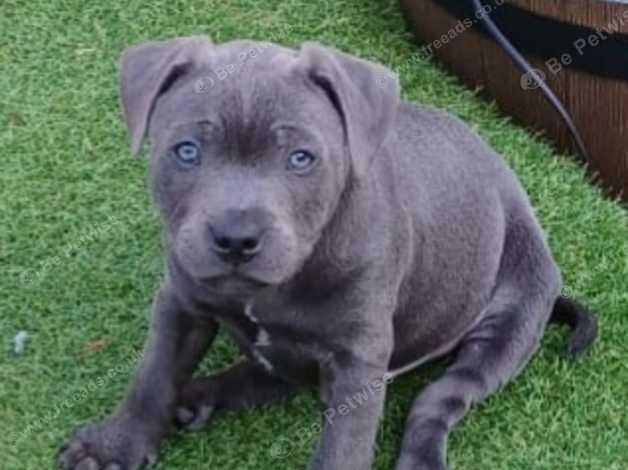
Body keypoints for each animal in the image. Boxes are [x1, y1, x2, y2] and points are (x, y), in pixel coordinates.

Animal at [59, 37, 600, 470]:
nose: (236, 237)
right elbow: (152, 374)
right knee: (270, 372)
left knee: (437, 400)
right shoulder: (181, 302)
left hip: (512, 314)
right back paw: (197, 396)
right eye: (187, 150)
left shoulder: (358, 359)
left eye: (301, 159)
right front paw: (114, 445)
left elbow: (344, 446)